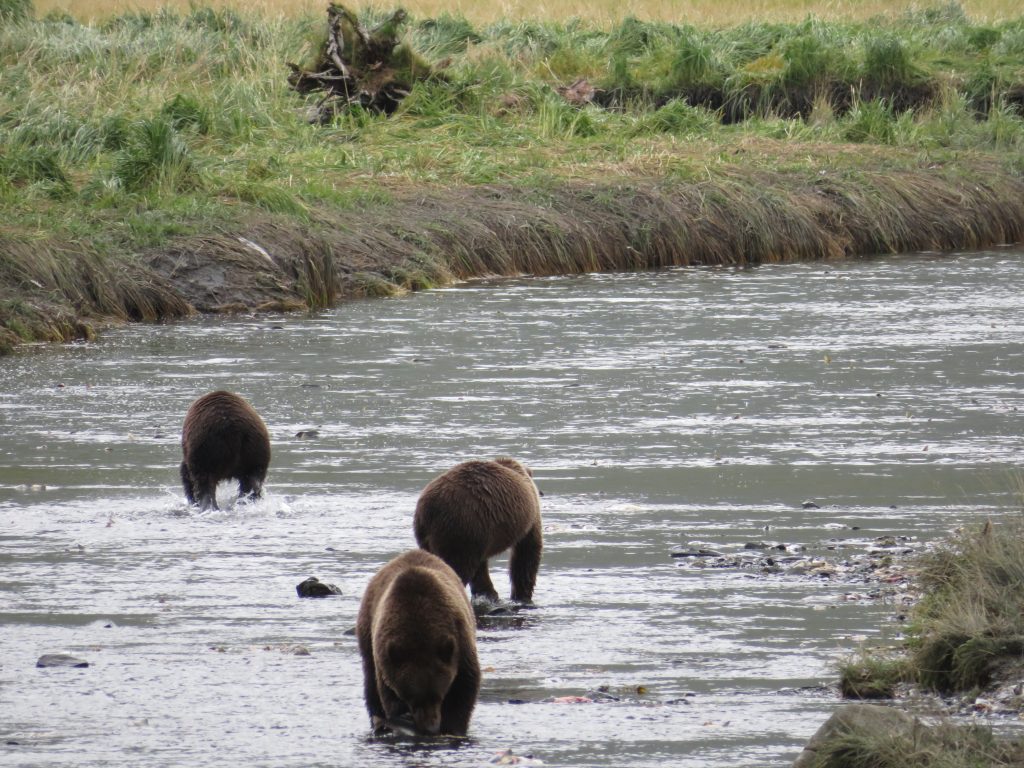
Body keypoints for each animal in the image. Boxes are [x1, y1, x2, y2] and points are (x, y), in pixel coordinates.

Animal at [356, 548, 479, 737]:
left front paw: (453, 727)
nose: (431, 727)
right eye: (411, 698)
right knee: (370, 683)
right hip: (367, 632)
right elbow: (388, 694)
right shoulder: (385, 656)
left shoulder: (459, 641)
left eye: (438, 696)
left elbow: (466, 685)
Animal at [415, 456, 544, 606]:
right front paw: (522, 594)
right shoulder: (530, 518)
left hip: (434, 537)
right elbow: (528, 552)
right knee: (458, 567)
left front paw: (488, 593)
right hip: (461, 528)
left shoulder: (483, 535)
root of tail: (428, 511)